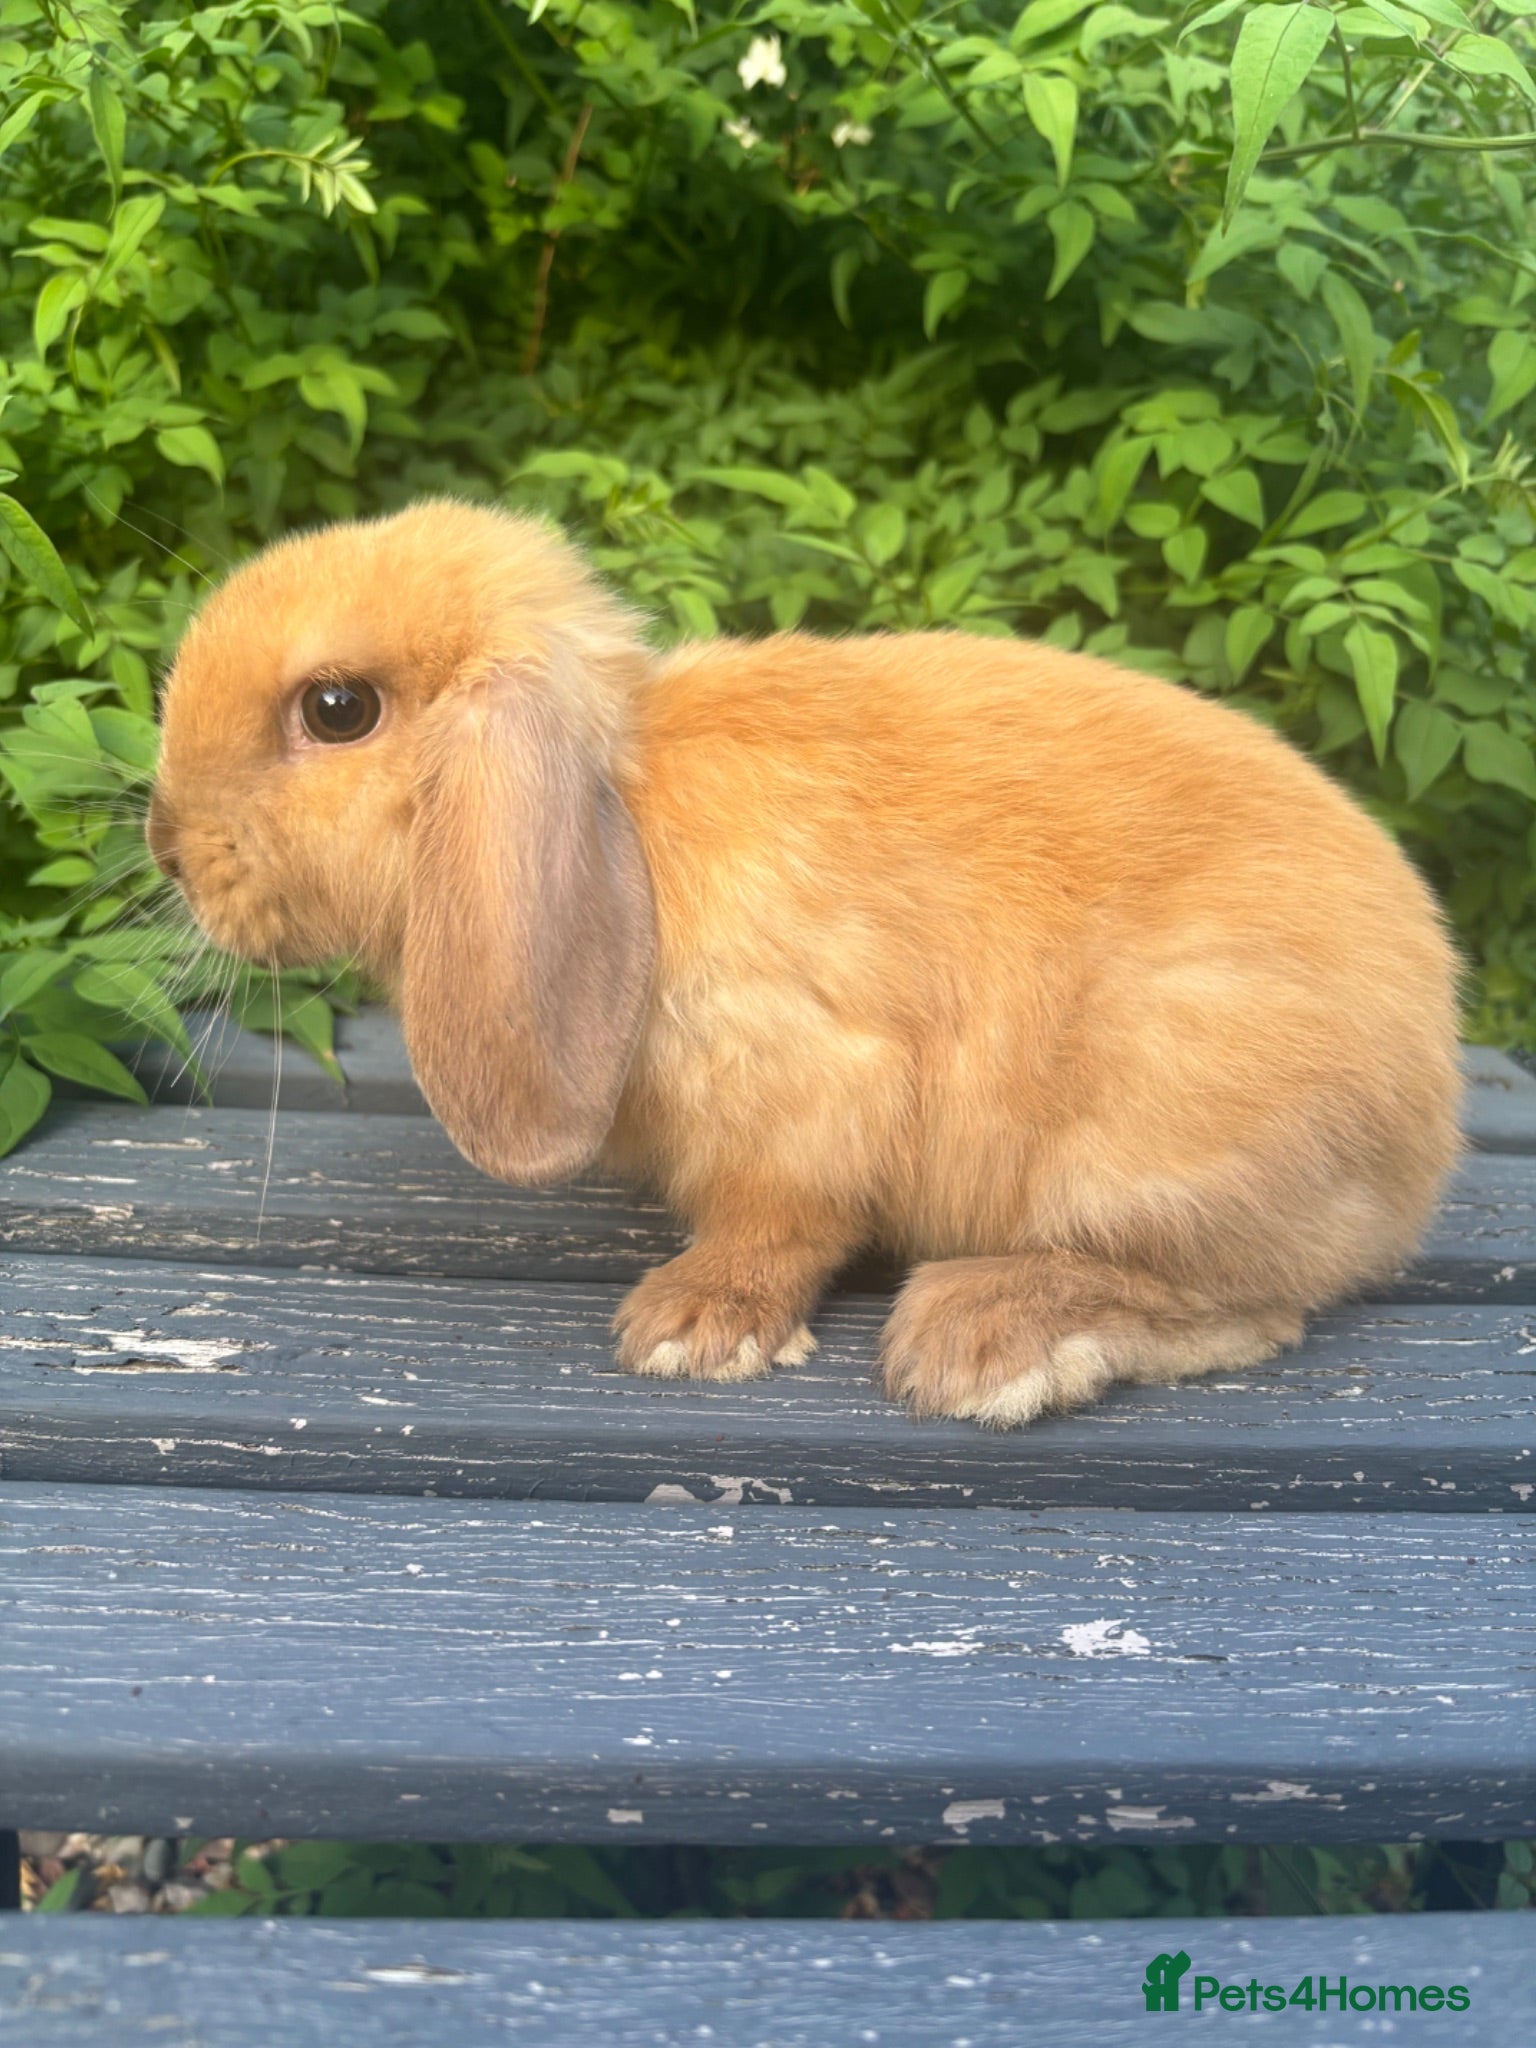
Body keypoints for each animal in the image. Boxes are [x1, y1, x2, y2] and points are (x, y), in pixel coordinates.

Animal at [147, 498, 1463, 1427]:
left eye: (336, 708)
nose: (166, 843)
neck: (632, 814)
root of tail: (1427, 1114)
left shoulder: (806, 1092)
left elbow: (779, 1226)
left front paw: (693, 1326)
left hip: (1157, 1127)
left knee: (1247, 1308)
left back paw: (984, 1340)